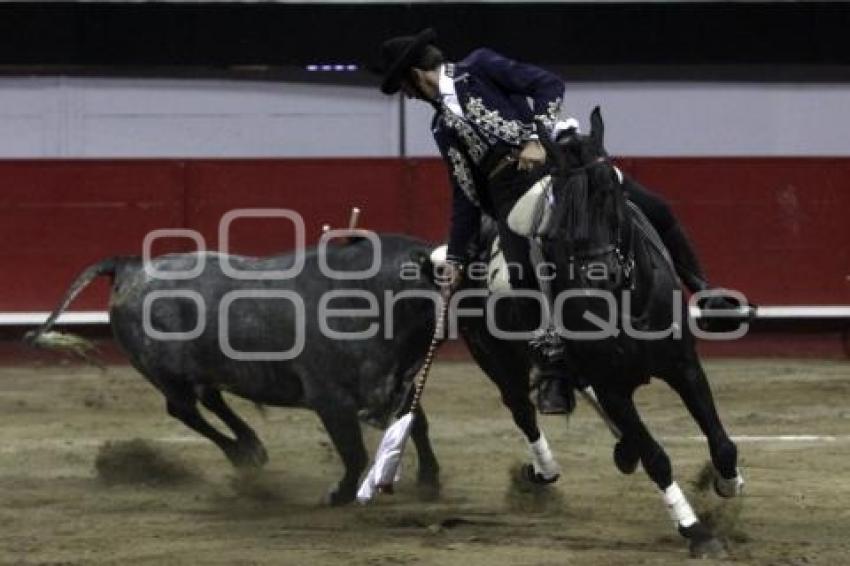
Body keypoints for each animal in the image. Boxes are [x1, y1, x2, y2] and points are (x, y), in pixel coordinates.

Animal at [28, 233, 548, 508]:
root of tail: (131, 267)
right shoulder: (331, 401)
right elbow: (354, 450)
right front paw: (340, 494)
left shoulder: (397, 385)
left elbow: (416, 424)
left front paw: (429, 480)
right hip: (164, 371)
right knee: (185, 410)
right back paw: (242, 454)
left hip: (209, 367)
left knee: (212, 399)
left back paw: (251, 448)